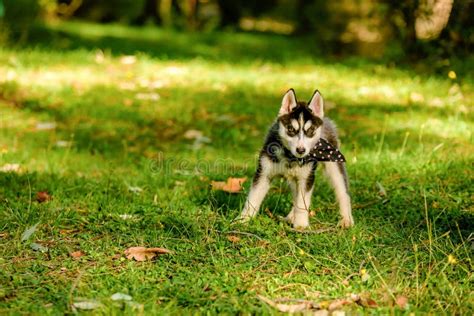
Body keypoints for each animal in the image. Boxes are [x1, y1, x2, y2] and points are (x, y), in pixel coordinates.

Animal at [236, 90, 352, 228]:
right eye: (291, 129)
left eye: (311, 130)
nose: (301, 150)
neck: (290, 157)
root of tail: (326, 120)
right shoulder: (264, 173)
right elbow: (253, 198)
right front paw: (243, 220)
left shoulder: (306, 178)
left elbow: (302, 203)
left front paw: (301, 225)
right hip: (293, 179)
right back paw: (291, 217)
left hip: (334, 165)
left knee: (343, 192)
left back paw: (346, 219)